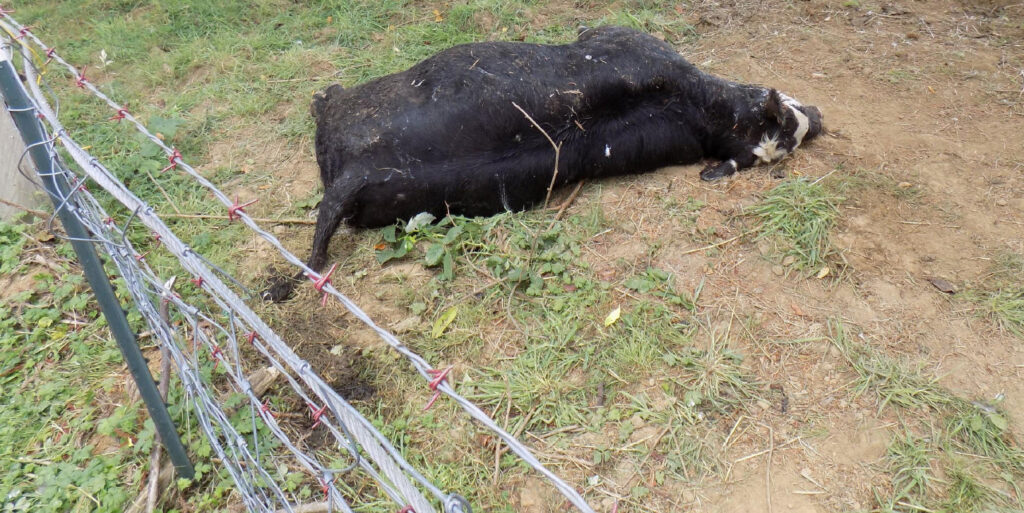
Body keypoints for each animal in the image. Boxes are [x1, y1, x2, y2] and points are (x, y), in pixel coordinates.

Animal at [263, 25, 823, 301]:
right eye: (794, 119)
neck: (701, 107)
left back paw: (321, 95)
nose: (818, 118)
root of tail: (359, 172)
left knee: (328, 104)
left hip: (348, 115)